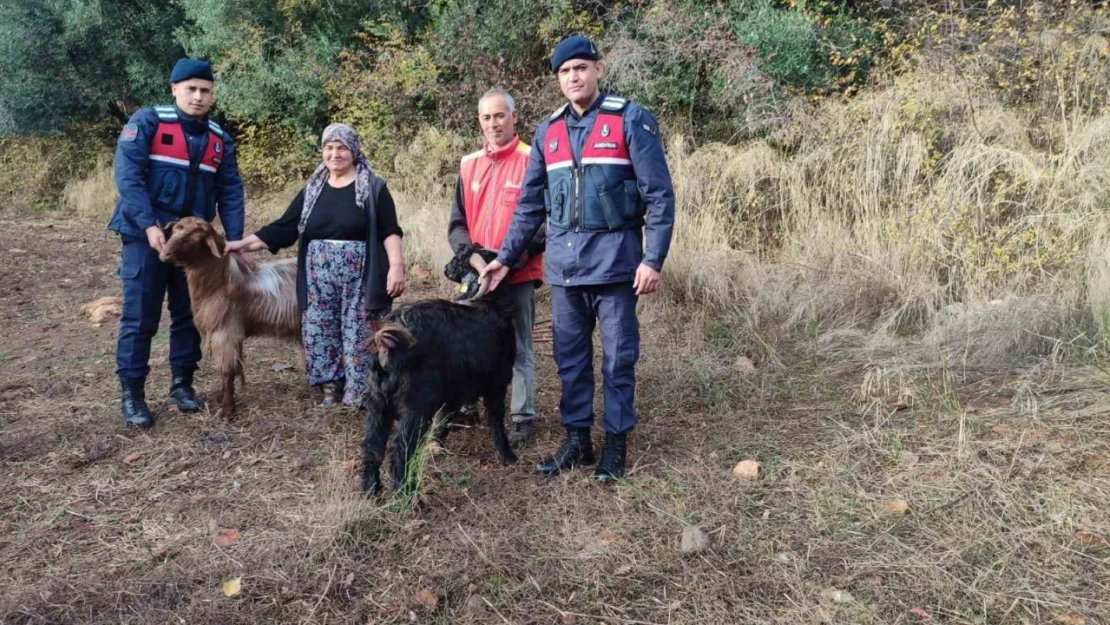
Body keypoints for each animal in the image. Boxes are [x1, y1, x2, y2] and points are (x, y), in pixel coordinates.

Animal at [158, 217, 299, 417]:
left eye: (192, 237)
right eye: (174, 231)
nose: (164, 254)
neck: (220, 282)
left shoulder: (225, 332)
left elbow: (227, 371)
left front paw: (226, 409)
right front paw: (223, 400)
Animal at [361, 247, 521, 497]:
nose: (446, 268)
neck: (490, 305)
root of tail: (390, 343)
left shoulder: (452, 393)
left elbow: (443, 421)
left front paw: (437, 447)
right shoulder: (497, 383)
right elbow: (496, 419)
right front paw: (507, 456)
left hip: (377, 402)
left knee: (372, 445)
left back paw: (372, 491)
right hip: (415, 407)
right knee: (400, 448)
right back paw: (406, 494)